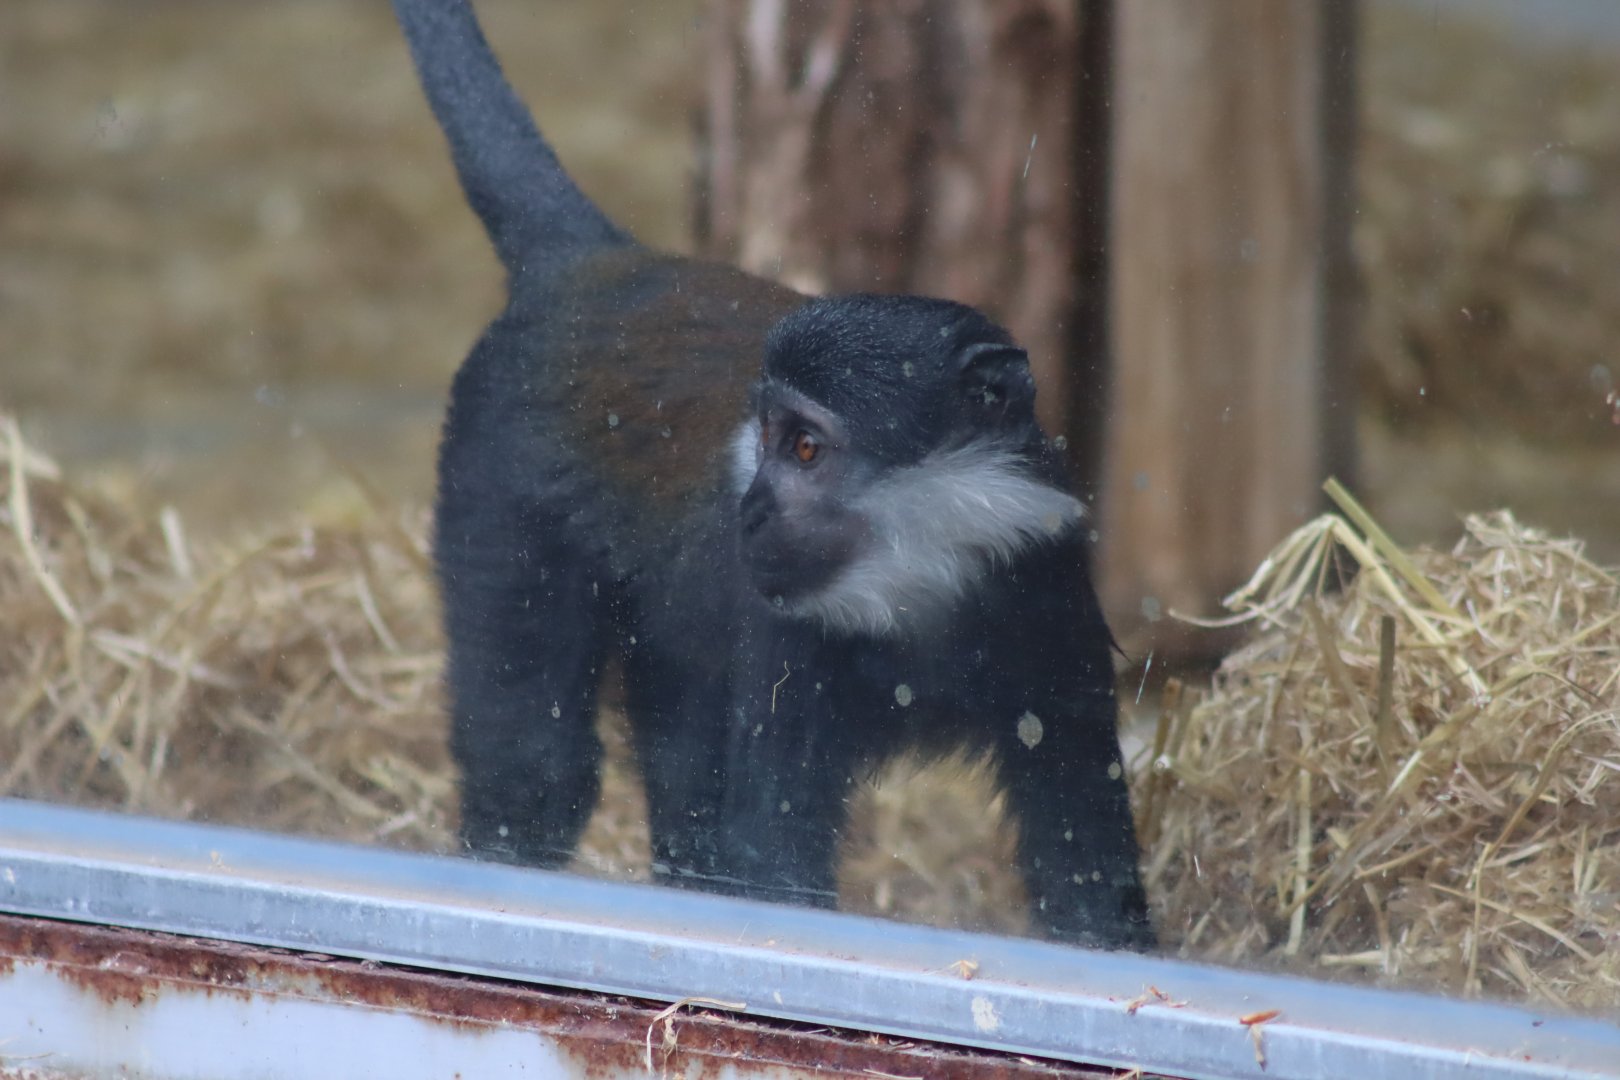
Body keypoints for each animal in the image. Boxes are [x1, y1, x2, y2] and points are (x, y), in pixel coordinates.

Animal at [393, 0, 1154, 950]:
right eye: (765, 434)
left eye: (804, 448)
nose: (748, 510)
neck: (922, 586)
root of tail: (594, 266)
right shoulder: (789, 641)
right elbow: (774, 859)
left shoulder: (1044, 587)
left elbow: (1083, 862)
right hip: (495, 492)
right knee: (535, 767)